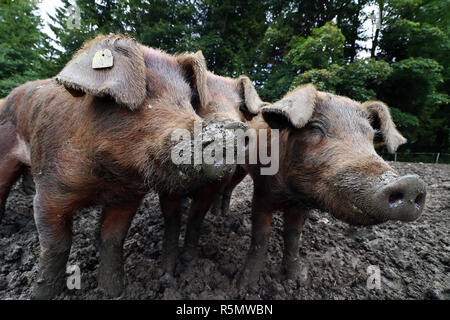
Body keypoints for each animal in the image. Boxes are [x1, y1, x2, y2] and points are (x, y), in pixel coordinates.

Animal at [0, 34, 246, 298]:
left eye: (190, 101)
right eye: (145, 92)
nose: (226, 136)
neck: (106, 179)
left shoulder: (127, 198)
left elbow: (113, 240)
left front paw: (114, 291)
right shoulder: (49, 192)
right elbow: (56, 246)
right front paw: (40, 295)